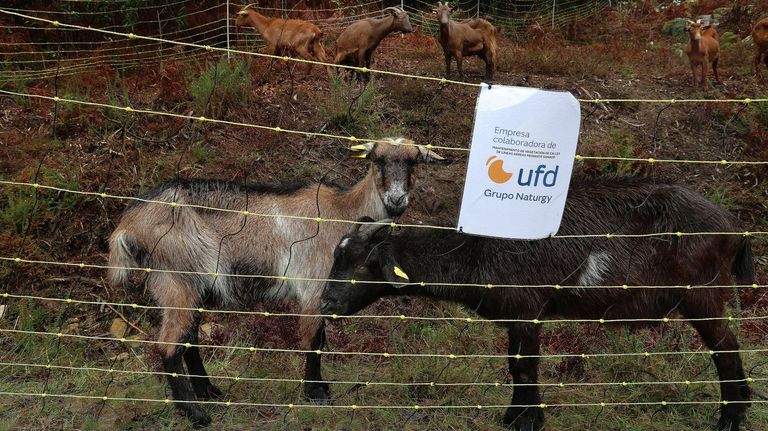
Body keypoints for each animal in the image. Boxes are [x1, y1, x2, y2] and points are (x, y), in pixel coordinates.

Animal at [107, 139, 446, 426]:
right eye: (378, 160)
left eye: (413, 162)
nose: (396, 199)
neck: (344, 209)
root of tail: (126, 226)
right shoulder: (314, 283)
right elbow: (314, 340)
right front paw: (315, 393)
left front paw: (322, 387)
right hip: (176, 279)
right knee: (167, 345)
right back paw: (196, 415)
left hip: (192, 284)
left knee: (187, 339)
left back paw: (209, 393)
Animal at [322, 176, 753, 431]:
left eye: (361, 263)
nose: (326, 302)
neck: (477, 249)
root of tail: (734, 227)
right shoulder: (517, 316)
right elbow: (515, 366)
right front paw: (515, 416)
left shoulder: (527, 309)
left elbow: (525, 367)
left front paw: (527, 420)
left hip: (702, 293)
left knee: (726, 348)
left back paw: (731, 418)